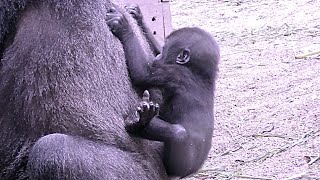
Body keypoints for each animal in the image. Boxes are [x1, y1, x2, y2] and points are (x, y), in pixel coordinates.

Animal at [106, 6, 219, 177]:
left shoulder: (174, 73)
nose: (159, 55)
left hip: (180, 165)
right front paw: (139, 18)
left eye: (165, 50)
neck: (200, 72)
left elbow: (144, 72)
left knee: (179, 134)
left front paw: (124, 26)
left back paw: (140, 125)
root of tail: (191, 171)